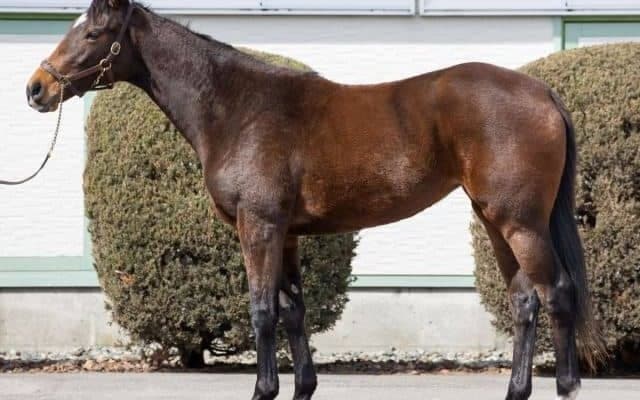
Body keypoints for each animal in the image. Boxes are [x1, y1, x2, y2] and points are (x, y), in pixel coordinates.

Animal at [26, 1, 605, 399]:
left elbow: (262, 310)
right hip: (494, 219)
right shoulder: (285, 235)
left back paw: (566, 386)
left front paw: (264, 390)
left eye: (94, 32)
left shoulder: (258, 226)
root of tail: (542, 93)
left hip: (520, 222)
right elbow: (293, 311)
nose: (36, 89)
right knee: (525, 300)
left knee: (557, 293)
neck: (239, 109)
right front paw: (302, 386)